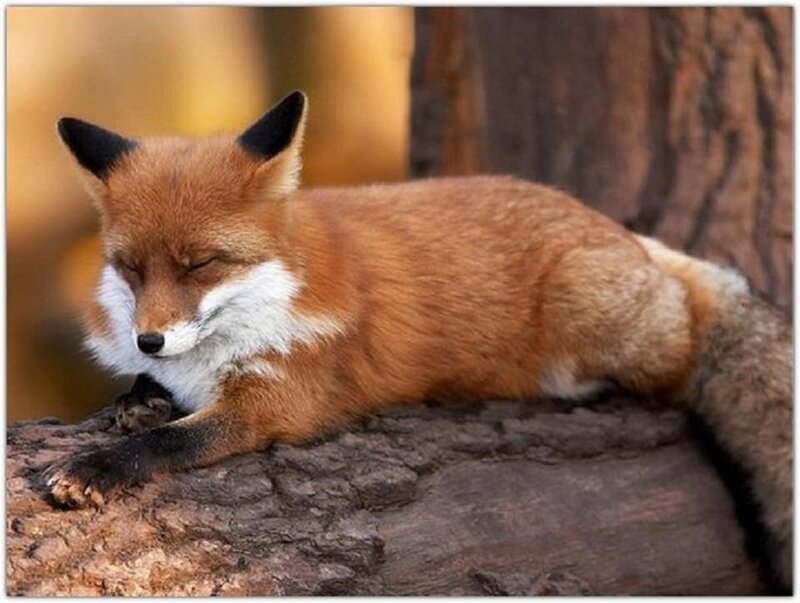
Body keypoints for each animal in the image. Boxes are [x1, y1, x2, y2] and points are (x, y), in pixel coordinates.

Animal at [47, 91, 792, 591]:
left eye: (201, 263)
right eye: (130, 268)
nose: (148, 338)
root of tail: (622, 232)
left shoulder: (276, 404)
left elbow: (170, 441)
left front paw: (98, 465)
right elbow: (152, 399)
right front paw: (139, 396)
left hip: (597, 313)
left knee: (684, 349)